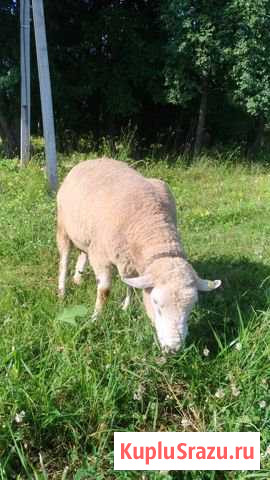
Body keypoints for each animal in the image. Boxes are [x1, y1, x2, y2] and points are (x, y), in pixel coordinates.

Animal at [56, 158, 220, 352]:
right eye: (156, 304)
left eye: (192, 306)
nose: (173, 349)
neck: (151, 223)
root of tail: (92, 160)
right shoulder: (101, 256)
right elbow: (104, 291)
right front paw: (96, 319)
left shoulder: (130, 261)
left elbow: (132, 286)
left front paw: (126, 308)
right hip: (63, 225)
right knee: (64, 259)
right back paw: (62, 291)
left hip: (83, 233)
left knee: (82, 252)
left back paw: (77, 278)